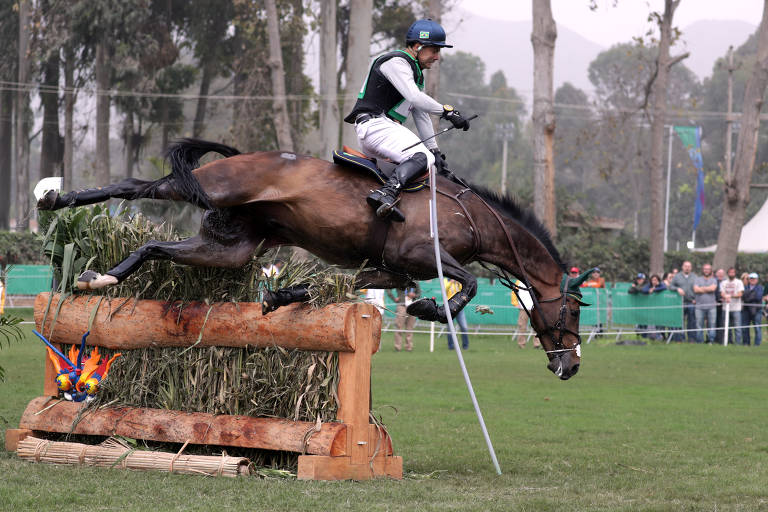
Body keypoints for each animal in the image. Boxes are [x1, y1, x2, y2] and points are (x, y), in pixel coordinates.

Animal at [36, 138, 592, 378]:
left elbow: (331, 289)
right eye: (571, 311)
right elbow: (469, 285)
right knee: (138, 184)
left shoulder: (383, 269)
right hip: (210, 189)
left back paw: (100, 277)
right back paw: (55, 198)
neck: (476, 216)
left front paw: (280, 297)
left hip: (232, 247)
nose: (571, 367)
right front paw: (428, 308)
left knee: (155, 245)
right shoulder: (421, 255)